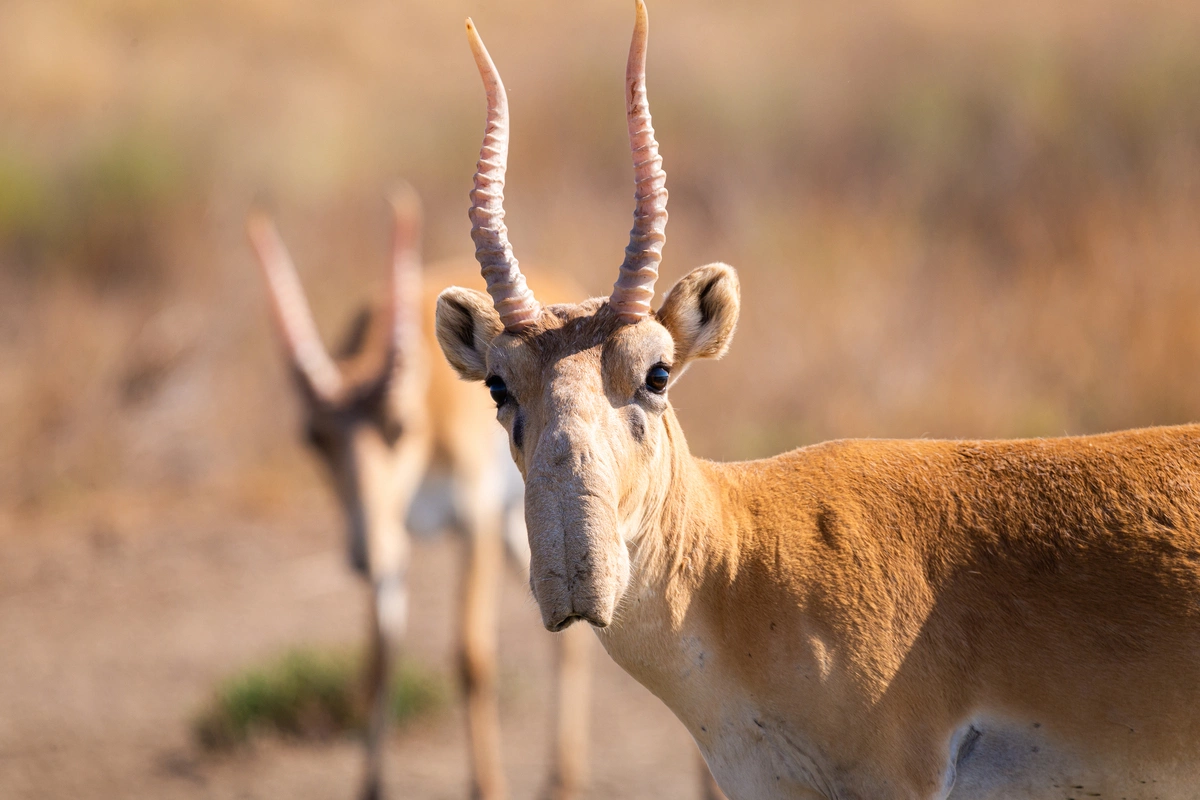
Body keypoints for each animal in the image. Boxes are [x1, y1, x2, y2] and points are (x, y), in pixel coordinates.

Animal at [246, 191, 592, 800]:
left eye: (398, 425)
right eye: (313, 437)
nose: (362, 555)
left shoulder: (473, 521)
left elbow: (472, 657)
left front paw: (488, 786)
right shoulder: (397, 537)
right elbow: (378, 661)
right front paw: (370, 788)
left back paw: (566, 776)